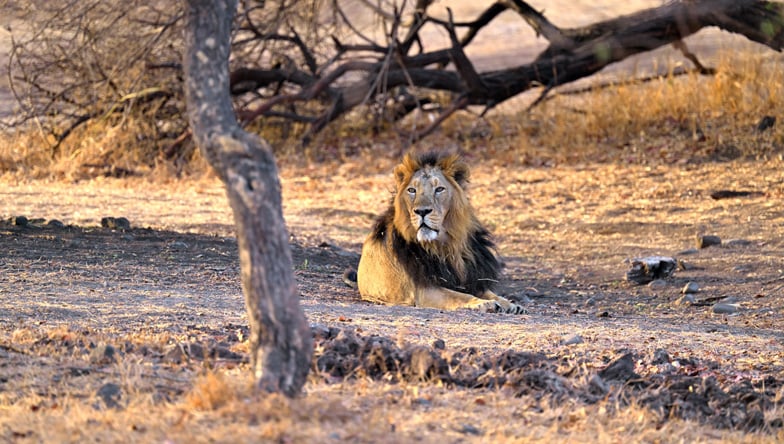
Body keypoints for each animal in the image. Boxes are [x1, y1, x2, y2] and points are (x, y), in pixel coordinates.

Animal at [352, 151, 525, 314]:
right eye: (412, 190)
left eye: (439, 189)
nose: (422, 211)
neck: (447, 245)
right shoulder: (425, 290)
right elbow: (458, 296)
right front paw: (483, 303)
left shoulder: (470, 279)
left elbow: (490, 293)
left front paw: (511, 304)